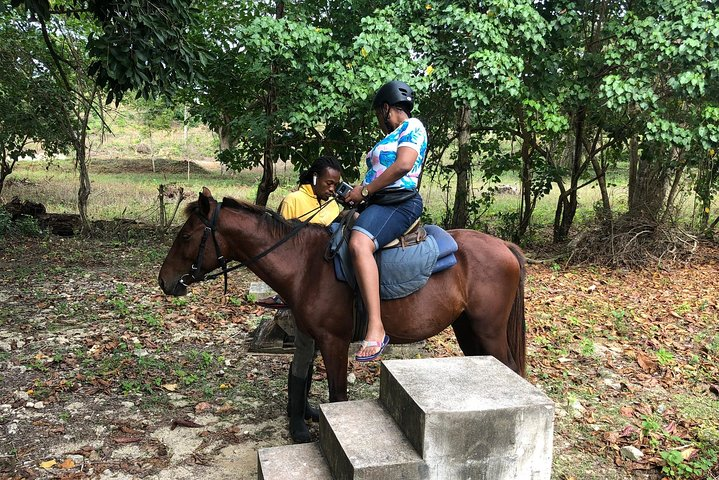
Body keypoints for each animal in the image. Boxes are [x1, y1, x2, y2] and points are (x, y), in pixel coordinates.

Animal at [159, 189, 528, 404]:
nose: (165, 281)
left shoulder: (334, 341)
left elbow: (338, 396)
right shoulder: (313, 337)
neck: (306, 264)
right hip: (467, 327)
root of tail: (503, 246)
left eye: (187, 235)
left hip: (488, 329)